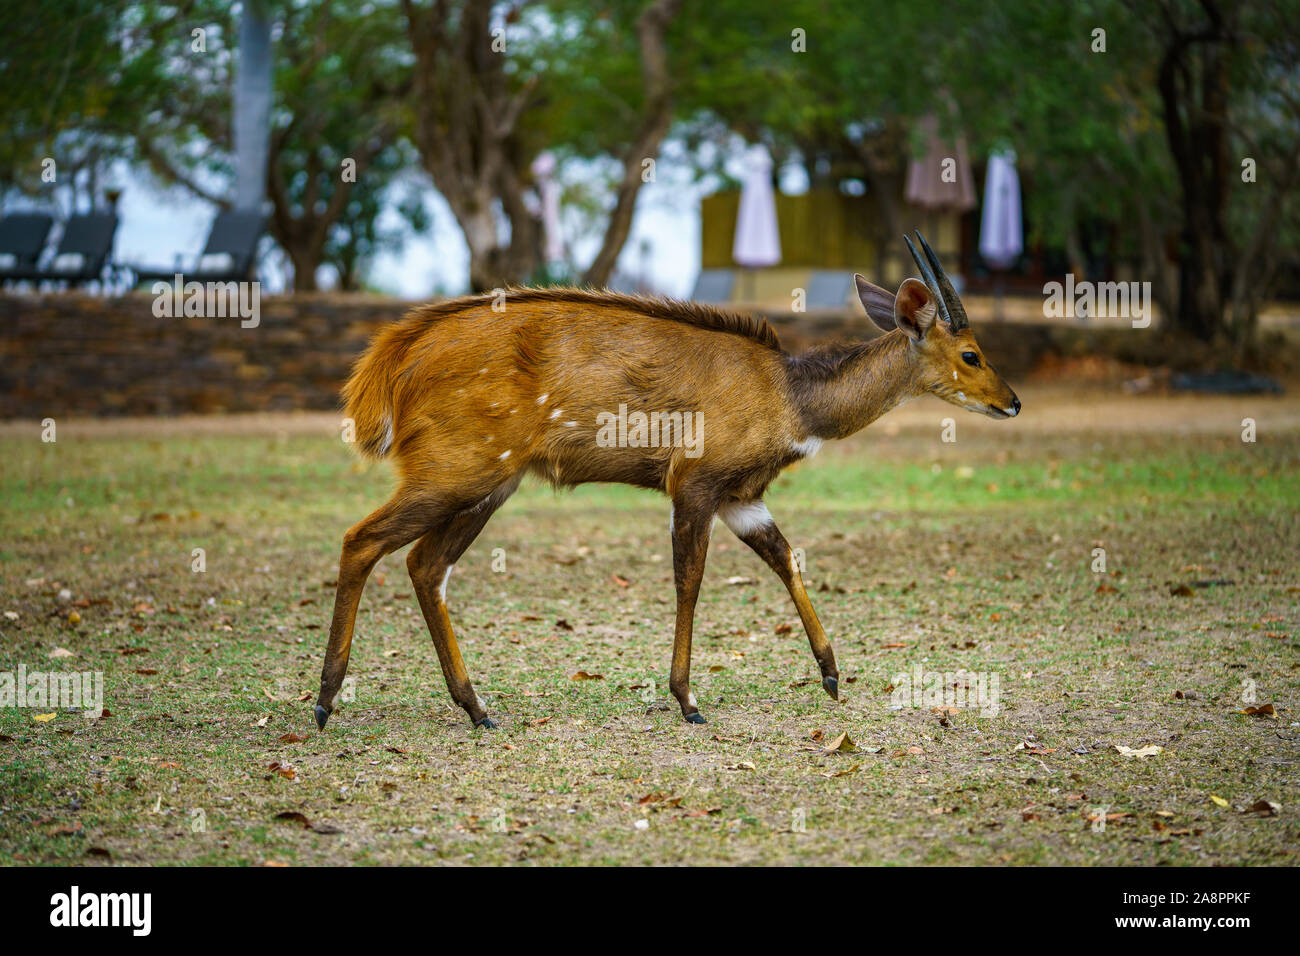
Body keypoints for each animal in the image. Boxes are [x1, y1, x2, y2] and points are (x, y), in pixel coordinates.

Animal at [314, 235, 1013, 728]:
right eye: (972, 353)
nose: (1013, 402)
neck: (791, 396)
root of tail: (396, 354)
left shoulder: (742, 498)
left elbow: (785, 557)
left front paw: (832, 675)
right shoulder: (694, 484)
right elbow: (690, 580)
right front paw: (688, 700)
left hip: (489, 485)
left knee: (425, 565)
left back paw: (477, 709)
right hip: (456, 473)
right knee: (361, 541)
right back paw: (325, 702)